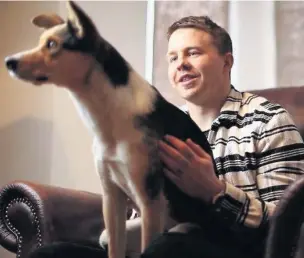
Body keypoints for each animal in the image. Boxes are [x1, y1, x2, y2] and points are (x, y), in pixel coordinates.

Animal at [4, 1, 218, 256]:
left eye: (53, 45)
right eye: (41, 42)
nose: (8, 62)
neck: (107, 114)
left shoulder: (150, 200)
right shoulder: (112, 198)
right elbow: (115, 249)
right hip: (107, 234)